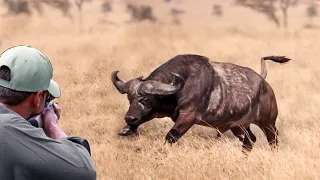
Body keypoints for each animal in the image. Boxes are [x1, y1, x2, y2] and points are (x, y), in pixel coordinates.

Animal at [111, 54, 292, 152]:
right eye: (130, 99)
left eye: (146, 100)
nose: (130, 118)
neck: (182, 85)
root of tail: (264, 82)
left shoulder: (188, 117)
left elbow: (170, 137)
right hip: (238, 126)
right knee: (249, 141)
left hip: (268, 123)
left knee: (273, 140)